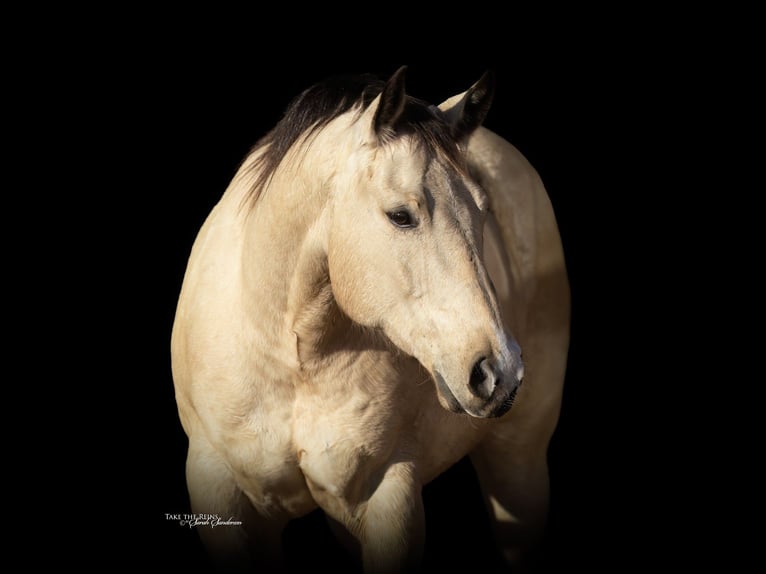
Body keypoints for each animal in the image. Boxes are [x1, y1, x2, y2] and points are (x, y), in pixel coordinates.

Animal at [171, 66, 570, 573]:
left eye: (483, 210)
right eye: (399, 216)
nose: (499, 371)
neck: (291, 361)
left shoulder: (388, 495)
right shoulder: (222, 495)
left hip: (519, 462)